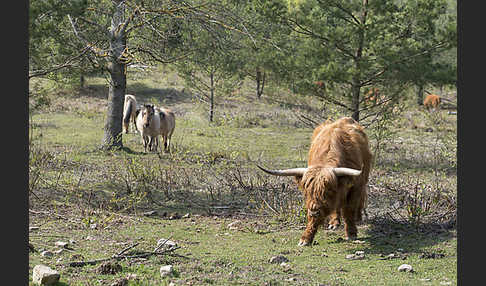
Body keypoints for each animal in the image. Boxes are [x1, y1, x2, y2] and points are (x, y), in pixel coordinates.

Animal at [258, 116, 372, 246]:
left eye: (328, 190)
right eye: (307, 191)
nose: (314, 210)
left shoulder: (356, 186)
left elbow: (349, 209)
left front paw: (351, 233)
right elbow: (313, 219)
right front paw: (306, 238)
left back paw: (358, 217)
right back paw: (334, 222)